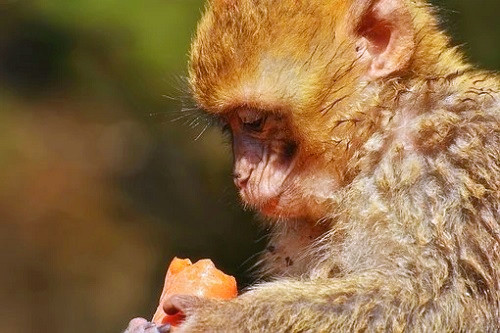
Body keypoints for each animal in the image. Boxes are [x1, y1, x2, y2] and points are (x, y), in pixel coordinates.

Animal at [126, 0, 500, 330]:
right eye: (228, 127)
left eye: (252, 121)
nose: (241, 176)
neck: (378, 136)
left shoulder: (453, 159)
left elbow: (448, 303)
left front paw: (220, 320)